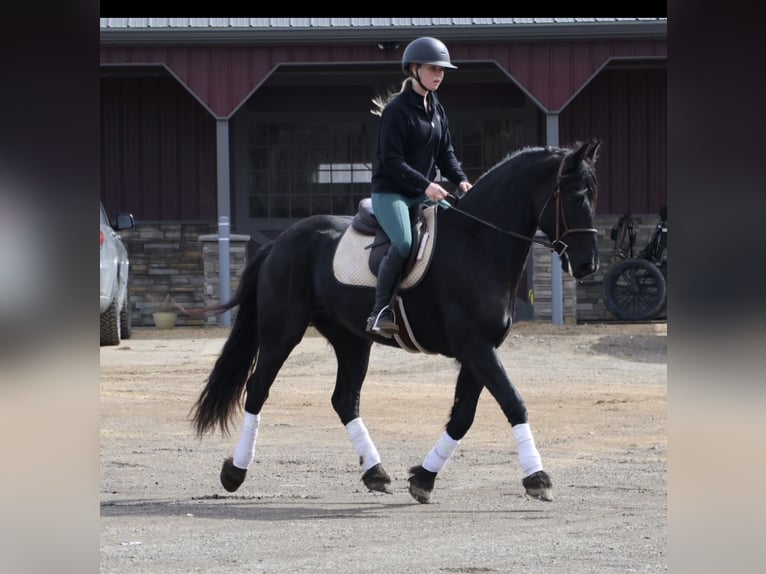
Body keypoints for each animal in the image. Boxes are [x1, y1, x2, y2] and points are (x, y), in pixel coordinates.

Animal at [191, 140, 601, 504]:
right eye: (577, 196)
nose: (587, 265)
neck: (478, 244)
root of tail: (281, 243)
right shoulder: (476, 347)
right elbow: (514, 403)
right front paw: (538, 478)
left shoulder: (478, 351)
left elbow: (463, 416)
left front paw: (423, 478)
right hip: (282, 332)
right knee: (258, 389)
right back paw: (235, 472)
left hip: (352, 340)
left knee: (345, 400)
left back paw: (375, 472)